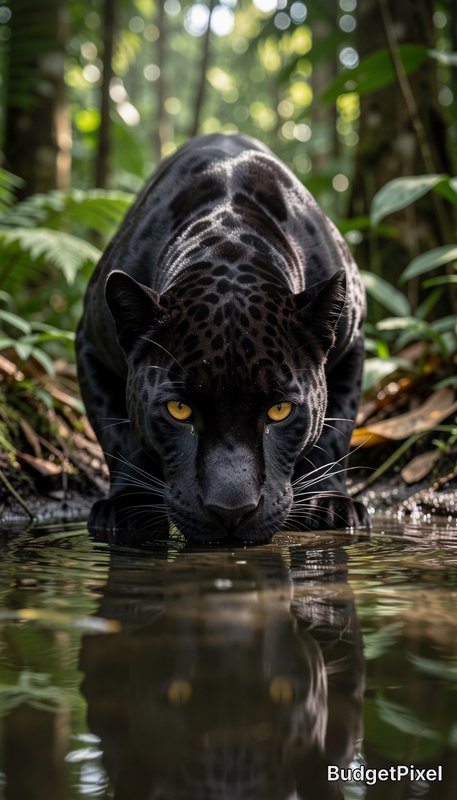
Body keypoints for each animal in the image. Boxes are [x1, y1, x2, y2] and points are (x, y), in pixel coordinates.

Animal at [76, 133, 370, 543]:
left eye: (280, 411)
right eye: (178, 410)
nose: (231, 511)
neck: (227, 242)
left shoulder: (351, 343)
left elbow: (335, 434)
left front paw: (329, 503)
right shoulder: (90, 345)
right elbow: (118, 437)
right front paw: (128, 506)